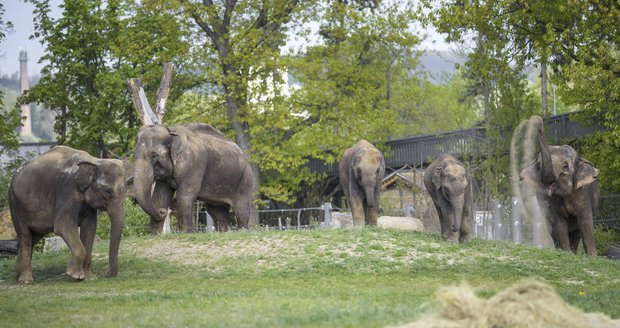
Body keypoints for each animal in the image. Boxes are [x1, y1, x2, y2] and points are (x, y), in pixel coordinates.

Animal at [7, 145, 127, 284]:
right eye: (108, 191)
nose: (107, 274)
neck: (94, 160)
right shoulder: (67, 192)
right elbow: (63, 226)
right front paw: (76, 275)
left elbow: (90, 229)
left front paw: (90, 278)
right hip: (15, 205)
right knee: (25, 236)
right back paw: (26, 280)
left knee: (33, 238)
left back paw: (18, 275)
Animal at [520, 115, 600, 256]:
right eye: (539, 165)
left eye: (565, 167)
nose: (537, 119)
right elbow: (559, 223)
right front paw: (566, 253)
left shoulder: (582, 191)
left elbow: (585, 220)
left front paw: (592, 257)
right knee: (553, 229)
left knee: (576, 232)